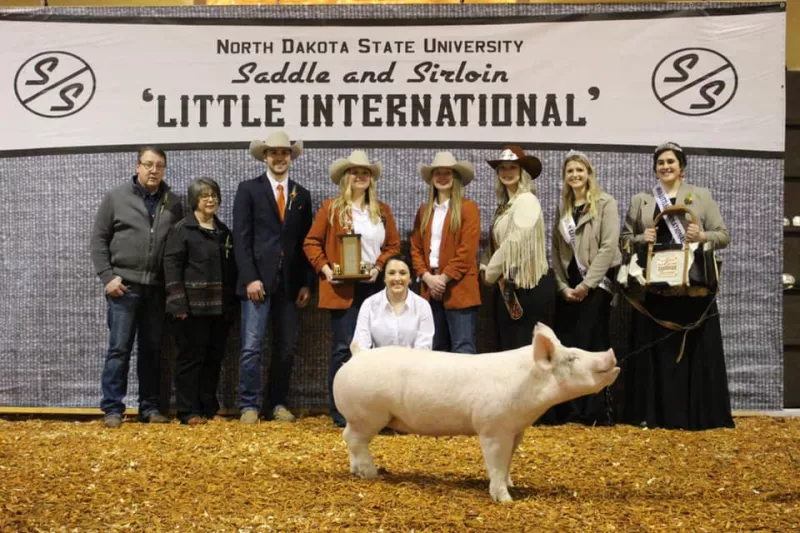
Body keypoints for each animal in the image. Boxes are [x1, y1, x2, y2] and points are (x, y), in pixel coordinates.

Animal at [332, 322, 620, 500]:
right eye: (572, 358)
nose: (611, 352)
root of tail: (357, 355)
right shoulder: (493, 427)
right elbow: (496, 462)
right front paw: (506, 499)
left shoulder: (516, 430)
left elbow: (507, 461)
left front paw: (511, 484)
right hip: (368, 413)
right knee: (353, 439)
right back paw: (371, 473)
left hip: (361, 417)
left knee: (349, 438)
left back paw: (356, 472)